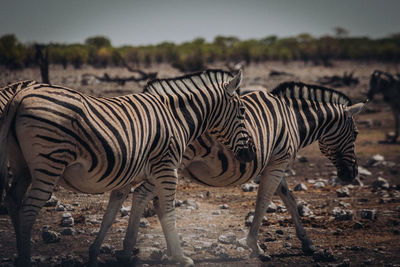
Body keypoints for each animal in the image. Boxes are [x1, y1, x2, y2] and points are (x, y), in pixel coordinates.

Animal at [0, 70, 256, 266]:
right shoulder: (167, 169)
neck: (177, 118)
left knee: (13, 199)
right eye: (243, 112)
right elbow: (168, 212)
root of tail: (19, 96)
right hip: (48, 163)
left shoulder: (126, 176)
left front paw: (96, 253)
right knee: (28, 210)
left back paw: (19, 255)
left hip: (22, 165)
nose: (251, 154)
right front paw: (181, 257)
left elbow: (110, 215)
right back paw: (26, 259)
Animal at [106, 81, 366, 262]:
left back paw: (146, 250)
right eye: (355, 134)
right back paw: (140, 250)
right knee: (144, 195)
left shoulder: (274, 164)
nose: (350, 175)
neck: (293, 120)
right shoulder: (278, 163)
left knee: (145, 198)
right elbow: (263, 202)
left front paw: (308, 243)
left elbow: (290, 201)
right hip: (169, 163)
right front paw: (255, 246)